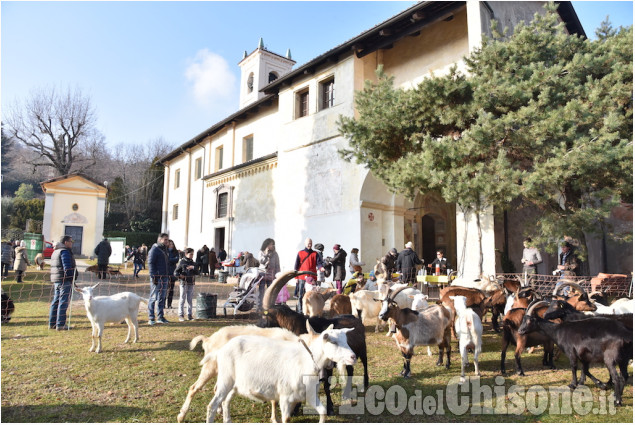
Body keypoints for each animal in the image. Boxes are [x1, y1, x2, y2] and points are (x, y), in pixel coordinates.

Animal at [205, 322, 358, 422]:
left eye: (345, 340)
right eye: (333, 342)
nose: (353, 357)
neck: (306, 361)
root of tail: (221, 349)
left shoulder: (309, 395)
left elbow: (323, 412)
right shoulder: (285, 397)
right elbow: (287, 418)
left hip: (234, 384)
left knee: (225, 402)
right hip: (225, 379)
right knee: (212, 405)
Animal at [258, 268, 370, 414]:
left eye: (264, 317)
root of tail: (357, 319)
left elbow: (326, 384)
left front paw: (329, 408)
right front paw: (296, 409)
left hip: (362, 350)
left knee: (365, 363)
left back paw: (366, 383)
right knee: (350, 370)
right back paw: (346, 393)